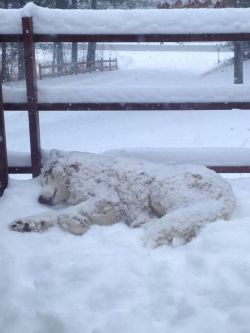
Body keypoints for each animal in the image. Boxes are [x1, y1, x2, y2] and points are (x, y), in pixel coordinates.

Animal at [9, 150, 236, 246]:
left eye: (46, 177)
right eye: (41, 180)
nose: (39, 199)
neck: (78, 173)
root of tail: (228, 194)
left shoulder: (109, 199)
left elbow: (65, 214)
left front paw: (77, 223)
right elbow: (53, 215)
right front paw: (26, 223)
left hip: (162, 189)